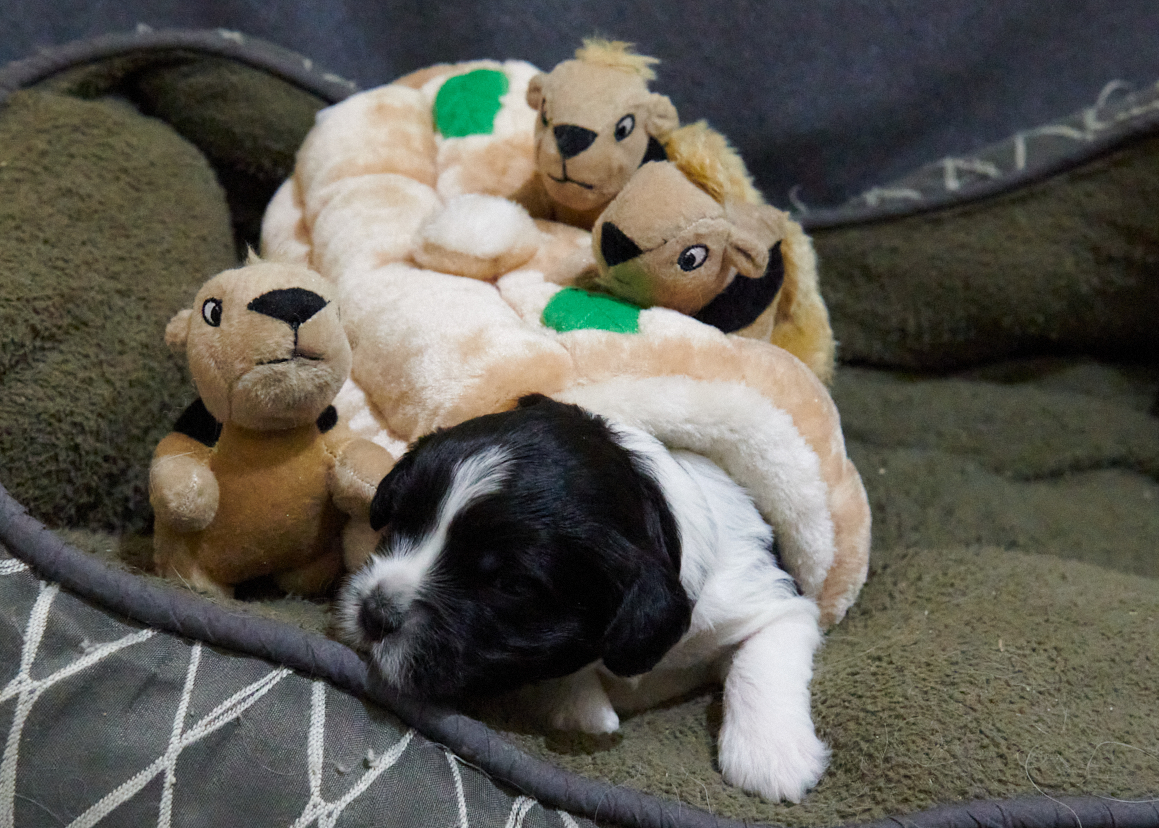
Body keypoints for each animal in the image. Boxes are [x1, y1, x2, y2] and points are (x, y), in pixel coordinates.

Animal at [338, 394, 829, 797]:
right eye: (401, 520)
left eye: (509, 586)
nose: (374, 613)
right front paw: (588, 711)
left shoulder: (771, 597)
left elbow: (764, 655)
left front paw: (772, 759)